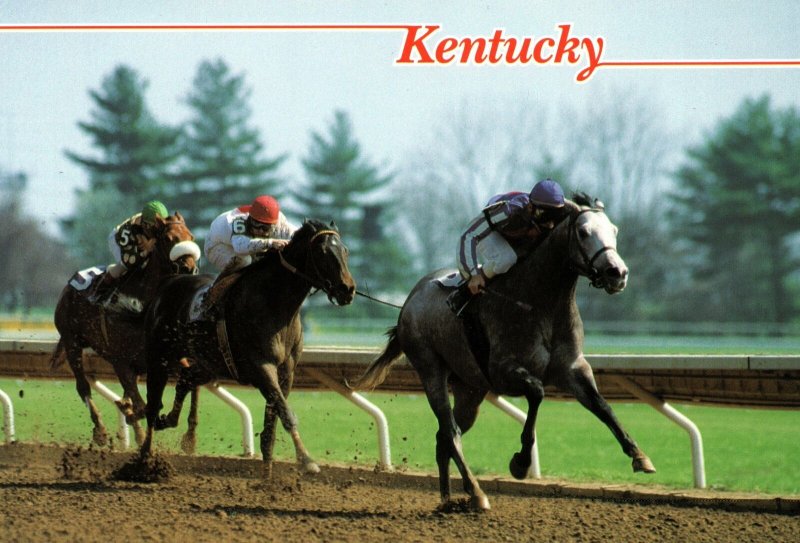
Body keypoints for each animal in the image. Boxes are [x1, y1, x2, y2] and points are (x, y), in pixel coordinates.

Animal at [50, 212, 200, 446]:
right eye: (169, 239)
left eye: (191, 236)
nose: (190, 268)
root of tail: (69, 286)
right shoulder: (121, 362)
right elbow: (144, 405)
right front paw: (132, 416)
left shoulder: (169, 358)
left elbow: (189, 383)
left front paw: (188, 437)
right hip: (71, 342)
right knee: (83, 387)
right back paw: (101, 430)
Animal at [354, 194, 652, 510]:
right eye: (583, 232)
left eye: (615, 230)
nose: (617, 273)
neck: (538, 302)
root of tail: (408, 302)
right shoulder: (502, 370)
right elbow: (537, 392)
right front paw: (520, 462)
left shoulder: (572, 368)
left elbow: (602, 406)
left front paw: (639, 456)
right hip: (430, 369)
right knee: (450, 431)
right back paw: (476, 493)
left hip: (470, 389)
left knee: (443, 438)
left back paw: (448, 499)